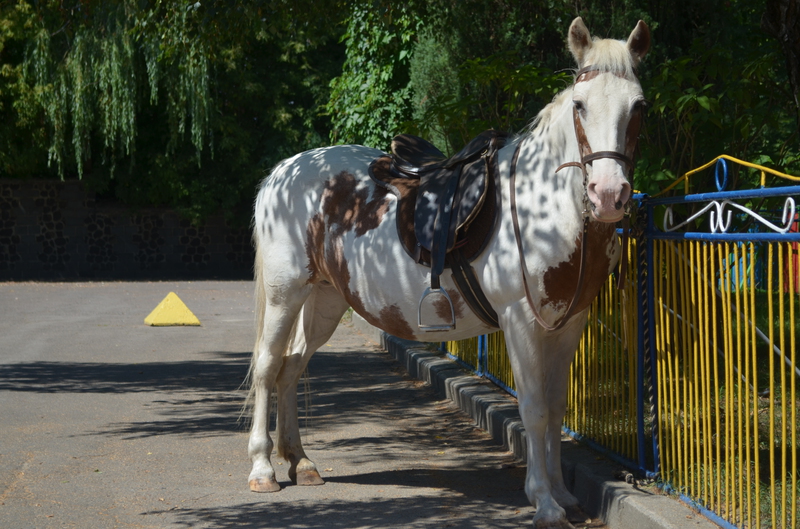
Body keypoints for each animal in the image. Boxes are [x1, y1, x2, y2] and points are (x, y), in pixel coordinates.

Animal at [247, 16, 648, 528]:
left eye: (638, 107)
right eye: (580, 105)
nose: (609, 194)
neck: (541, 205)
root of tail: (282, 172)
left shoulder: (568, 323)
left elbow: (557, 408)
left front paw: (563, 493)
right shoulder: (520, 321)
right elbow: (535, 409)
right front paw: (543, 500)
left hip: (324, 300)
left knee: (292, 367)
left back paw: (301, 462)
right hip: (285, 293)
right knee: (266, 366)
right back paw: (262, 468)